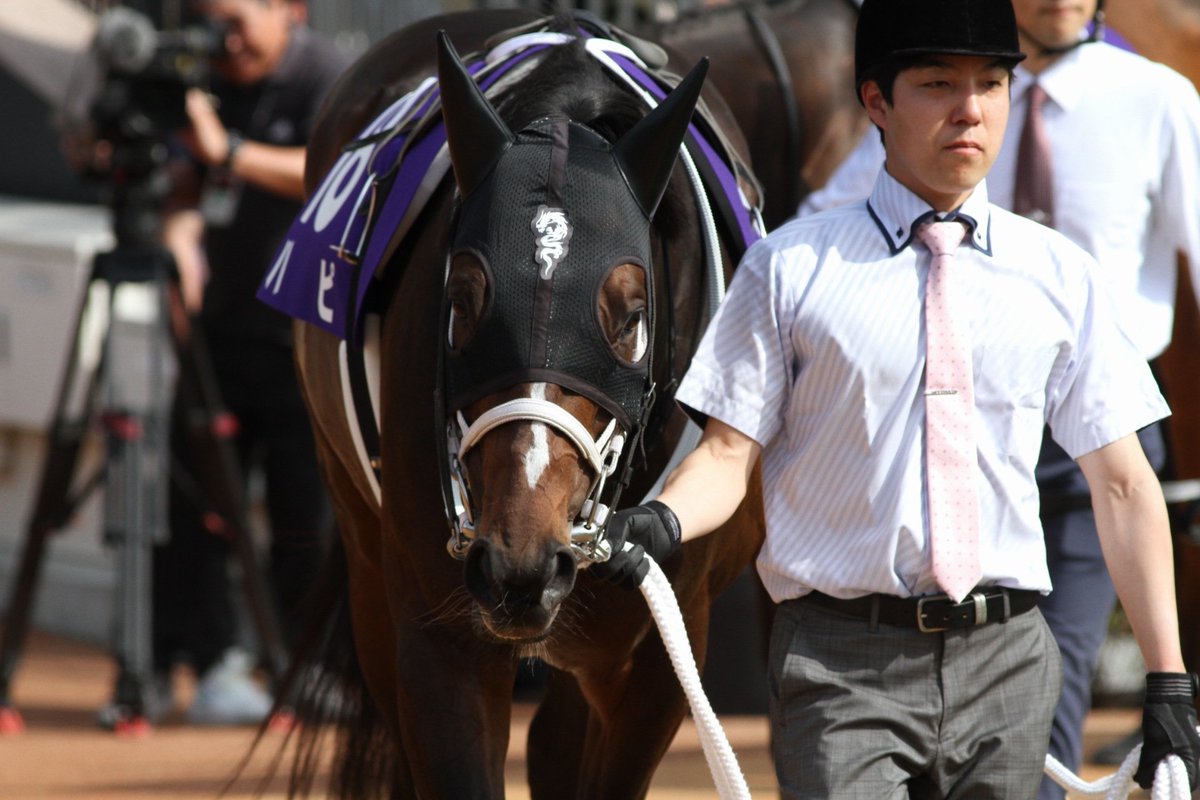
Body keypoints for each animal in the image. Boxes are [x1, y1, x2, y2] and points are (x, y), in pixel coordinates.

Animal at [265, 9, 768, 796]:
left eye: (631, 317)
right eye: (462, 303)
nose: (519, 566)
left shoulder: (659, 658)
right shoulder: (441, 641)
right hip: (368, 566)